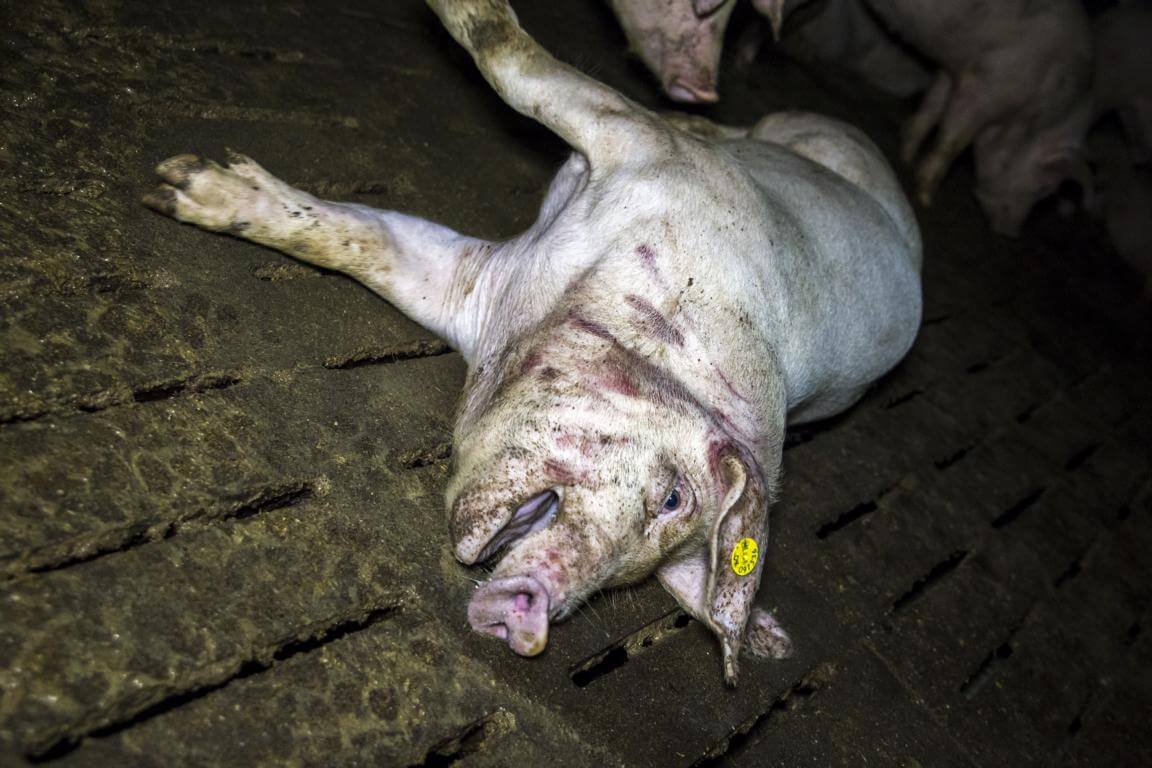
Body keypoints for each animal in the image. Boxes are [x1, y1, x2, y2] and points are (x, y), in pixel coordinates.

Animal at [144, 0, 922, 683]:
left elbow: (361, 241)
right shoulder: (643, 149)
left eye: (636, 573)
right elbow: (508, 60)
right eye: (674, 499)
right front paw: (178, 186)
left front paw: (181, 187)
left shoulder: (472, 286)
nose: (533, 617)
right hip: (788, 127)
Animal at [867, 0, 1094, 235]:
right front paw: (925, 199)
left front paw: (906, 160)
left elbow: (932, 109)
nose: (1012, 234)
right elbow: (952, 140)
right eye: (1044, 188)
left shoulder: (954, 70)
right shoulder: (989, 81)